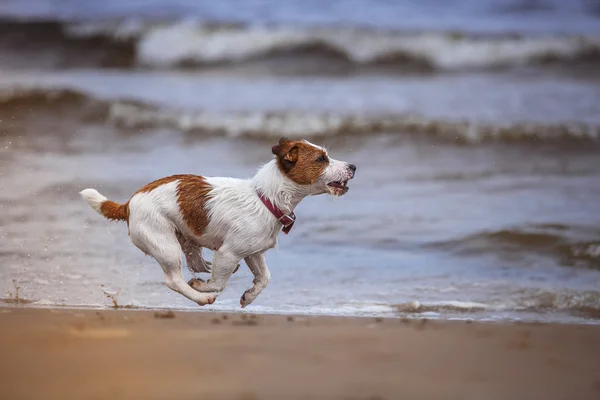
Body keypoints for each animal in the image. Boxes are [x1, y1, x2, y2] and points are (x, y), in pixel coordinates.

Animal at [79, 138, 356, 306]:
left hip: (187, 239)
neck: (264, 197)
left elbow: (264, 277)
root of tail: (128, 203)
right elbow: (219, 284)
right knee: (174, 279)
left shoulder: (252, 252)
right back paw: (200, 297)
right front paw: (205, 288)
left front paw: (249, 296)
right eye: (321, 159)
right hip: (164, 243)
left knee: (196, 262)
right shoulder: (229, 252)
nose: (353, 166)